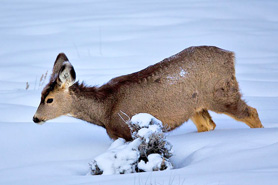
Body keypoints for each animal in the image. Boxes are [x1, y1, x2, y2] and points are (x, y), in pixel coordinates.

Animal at [32, 46, 262, 140]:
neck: (106, 110)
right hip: (195, 106)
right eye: (40, 96)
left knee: (251, 112)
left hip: (221, 92)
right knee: (208, 125)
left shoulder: (127, 130)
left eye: (49, 99)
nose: (35, 118)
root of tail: (230, 55)